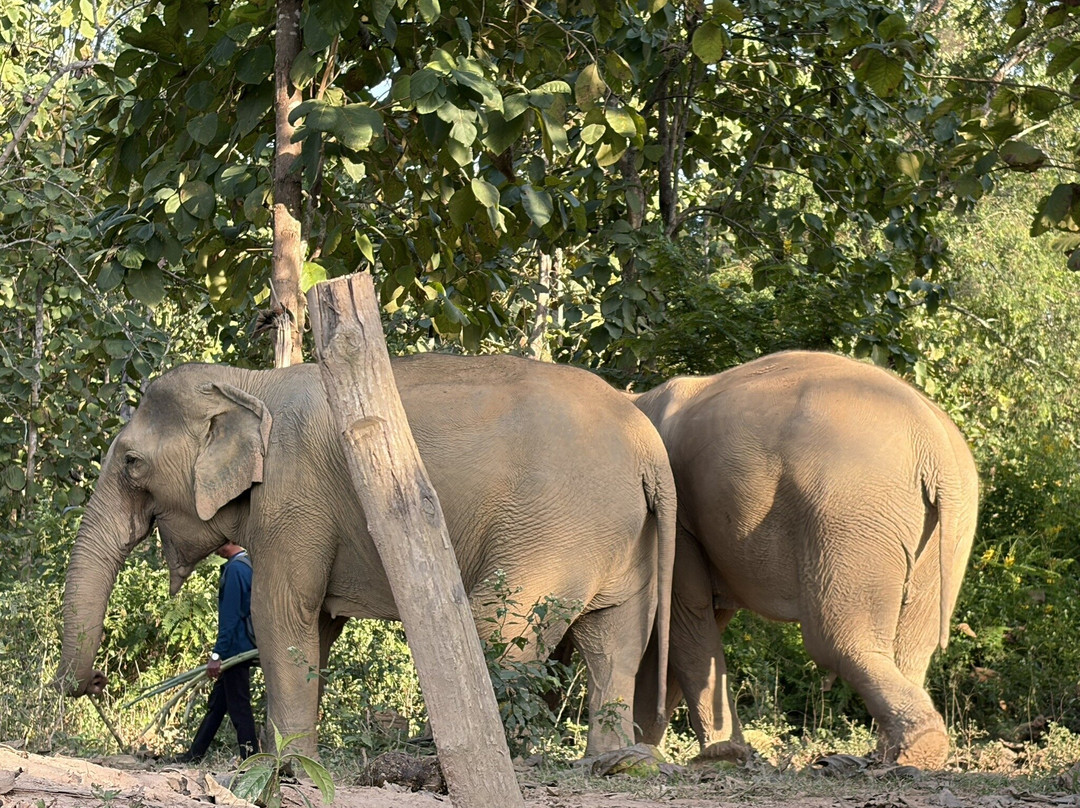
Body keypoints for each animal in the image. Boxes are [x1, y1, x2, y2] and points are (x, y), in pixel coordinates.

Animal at [57, 353, 676, 758]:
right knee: (615, 643)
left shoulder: (294, 495)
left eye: (131, 463)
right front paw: (283, 756)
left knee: (503, 627)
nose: (95, 684)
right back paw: (610, 761)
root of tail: (649, 445)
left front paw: (285, 763)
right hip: (619, 535)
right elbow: (317, 627)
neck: (248, 383)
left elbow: (282, 614)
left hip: (554, 528)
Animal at [629, 350, 978, 769]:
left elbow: (684, 615)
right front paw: (645, 747)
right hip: (947, 530)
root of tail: (936, 448)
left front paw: (716, 756)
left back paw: (911, 753)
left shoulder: (677, 517)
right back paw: (891, 754)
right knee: (912, 646)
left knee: (837, 639)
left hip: (849, 514)